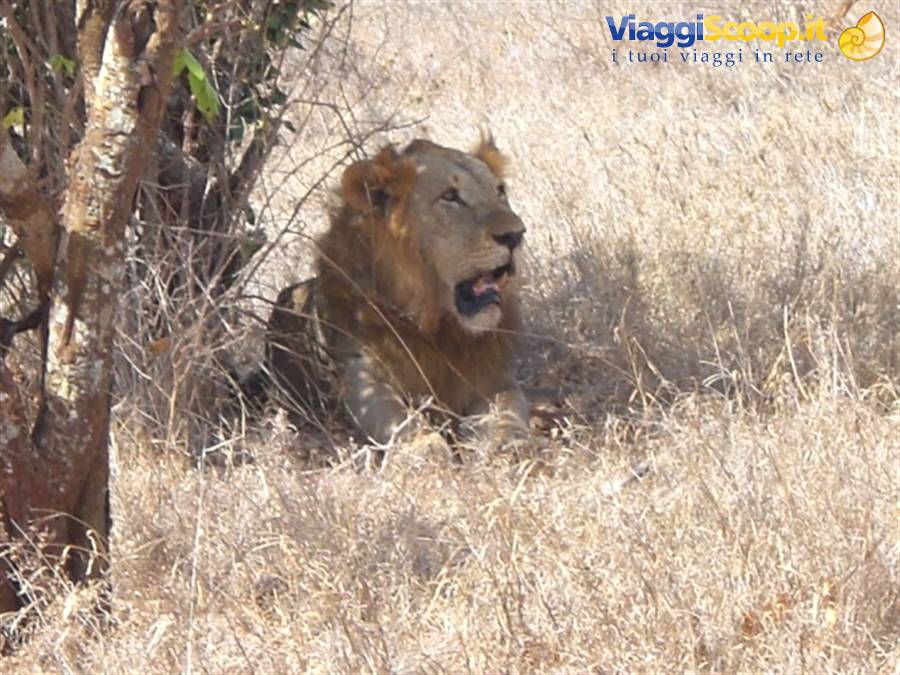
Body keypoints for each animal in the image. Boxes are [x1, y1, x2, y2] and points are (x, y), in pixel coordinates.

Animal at [266, 136, 530, 454]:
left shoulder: (494, 379)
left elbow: (507, 414)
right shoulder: (364, 381)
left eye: (499, 191)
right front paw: (432, 454)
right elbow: (410, 429)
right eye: (450, 196)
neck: (438, 328)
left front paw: (502, 447)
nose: (516, 235)